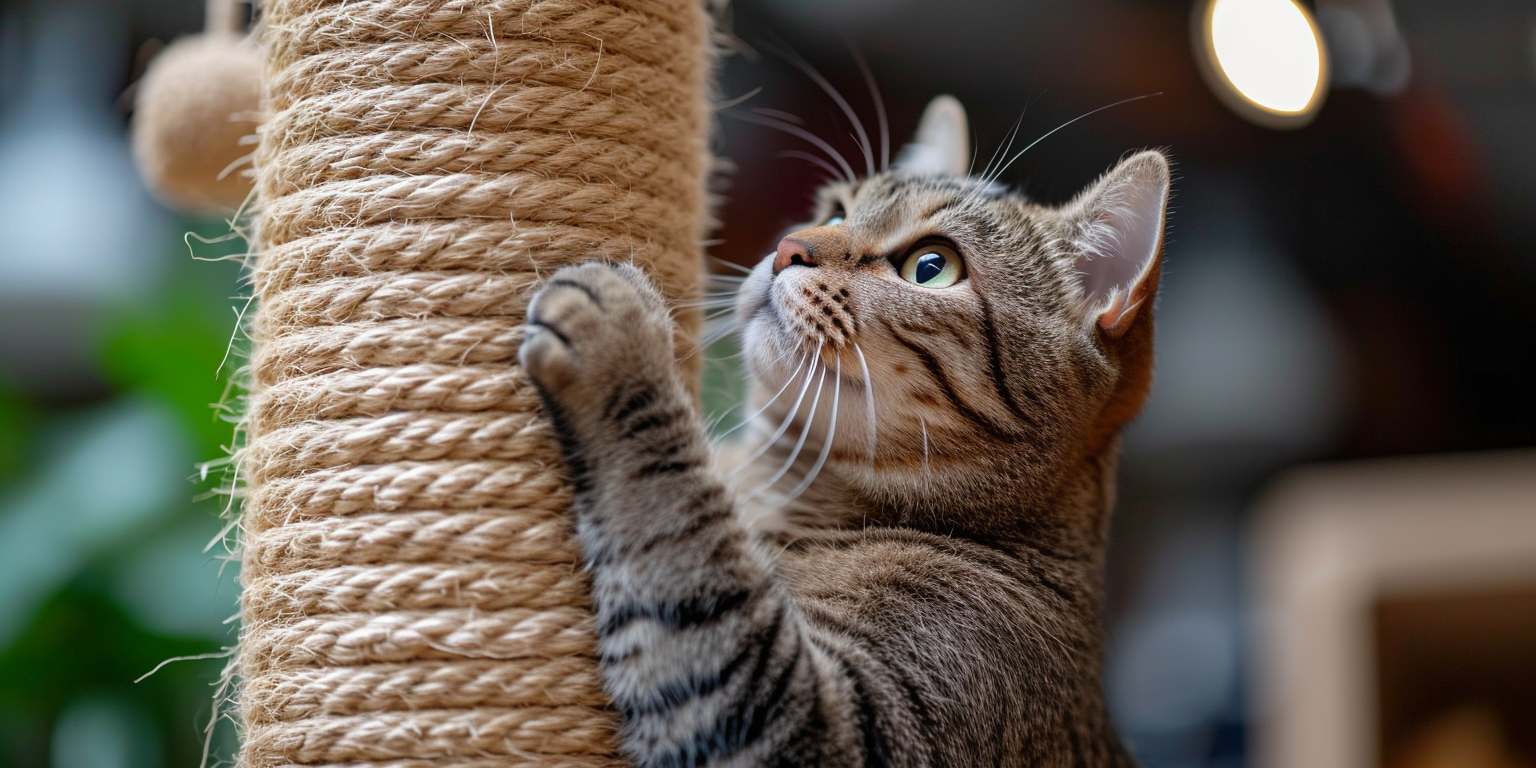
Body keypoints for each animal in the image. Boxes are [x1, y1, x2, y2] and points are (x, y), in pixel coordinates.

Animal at [522, 97, 1167, 768]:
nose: (788, 246)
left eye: (930, 267)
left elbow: (678, 513)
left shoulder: (826, 723)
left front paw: (623, 337)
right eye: (834, 211)